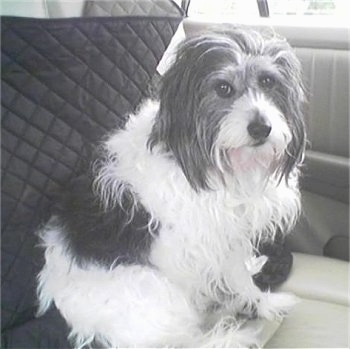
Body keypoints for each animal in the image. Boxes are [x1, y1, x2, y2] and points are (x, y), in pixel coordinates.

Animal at [36, 25, 306, 346]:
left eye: (267, 81)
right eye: (223, 88)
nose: (261, 129)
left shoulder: (231, 234)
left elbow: (238, 272)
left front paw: (256, 295)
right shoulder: (209, 242)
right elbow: (238, 278)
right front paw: (261, 303)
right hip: (157, 292)